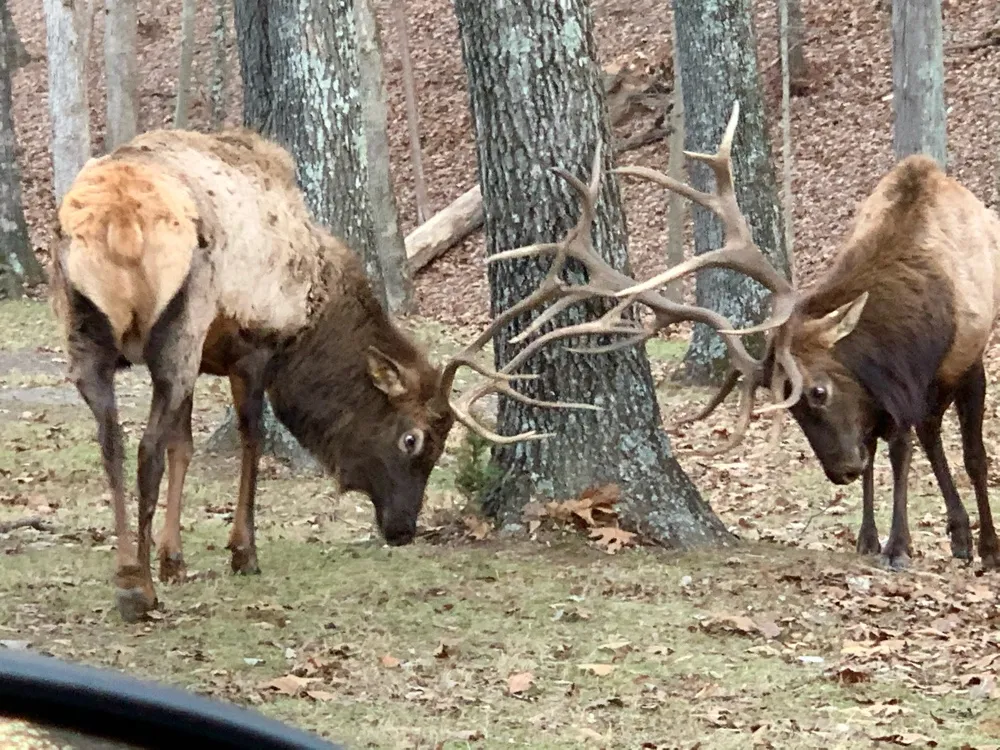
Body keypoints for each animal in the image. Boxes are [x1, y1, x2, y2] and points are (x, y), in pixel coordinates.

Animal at [49, 127, 596, 623]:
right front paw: (243, 552)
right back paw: (137, 591)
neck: (317, 308)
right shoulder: (256, 340)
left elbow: (183, 447)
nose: (403, 530)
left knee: (113, 442)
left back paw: (127, 572)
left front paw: (174, 561)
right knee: (145, 449)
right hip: (177, 326)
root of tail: (118, 220)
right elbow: (251, 440)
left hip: (86, 332)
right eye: (413, 439)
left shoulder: (208, 352)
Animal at [485, 101, 1000, 572]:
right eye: (789, 409)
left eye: (817, 392)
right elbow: (887, 447)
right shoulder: (885, 389)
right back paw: (956, 534)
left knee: (940, 439)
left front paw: (934, 546)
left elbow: (953, 453)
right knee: (928, 434)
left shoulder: (957, 362)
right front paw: (872, 540)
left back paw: (972, 541)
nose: (840, 472)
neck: (919, 330)